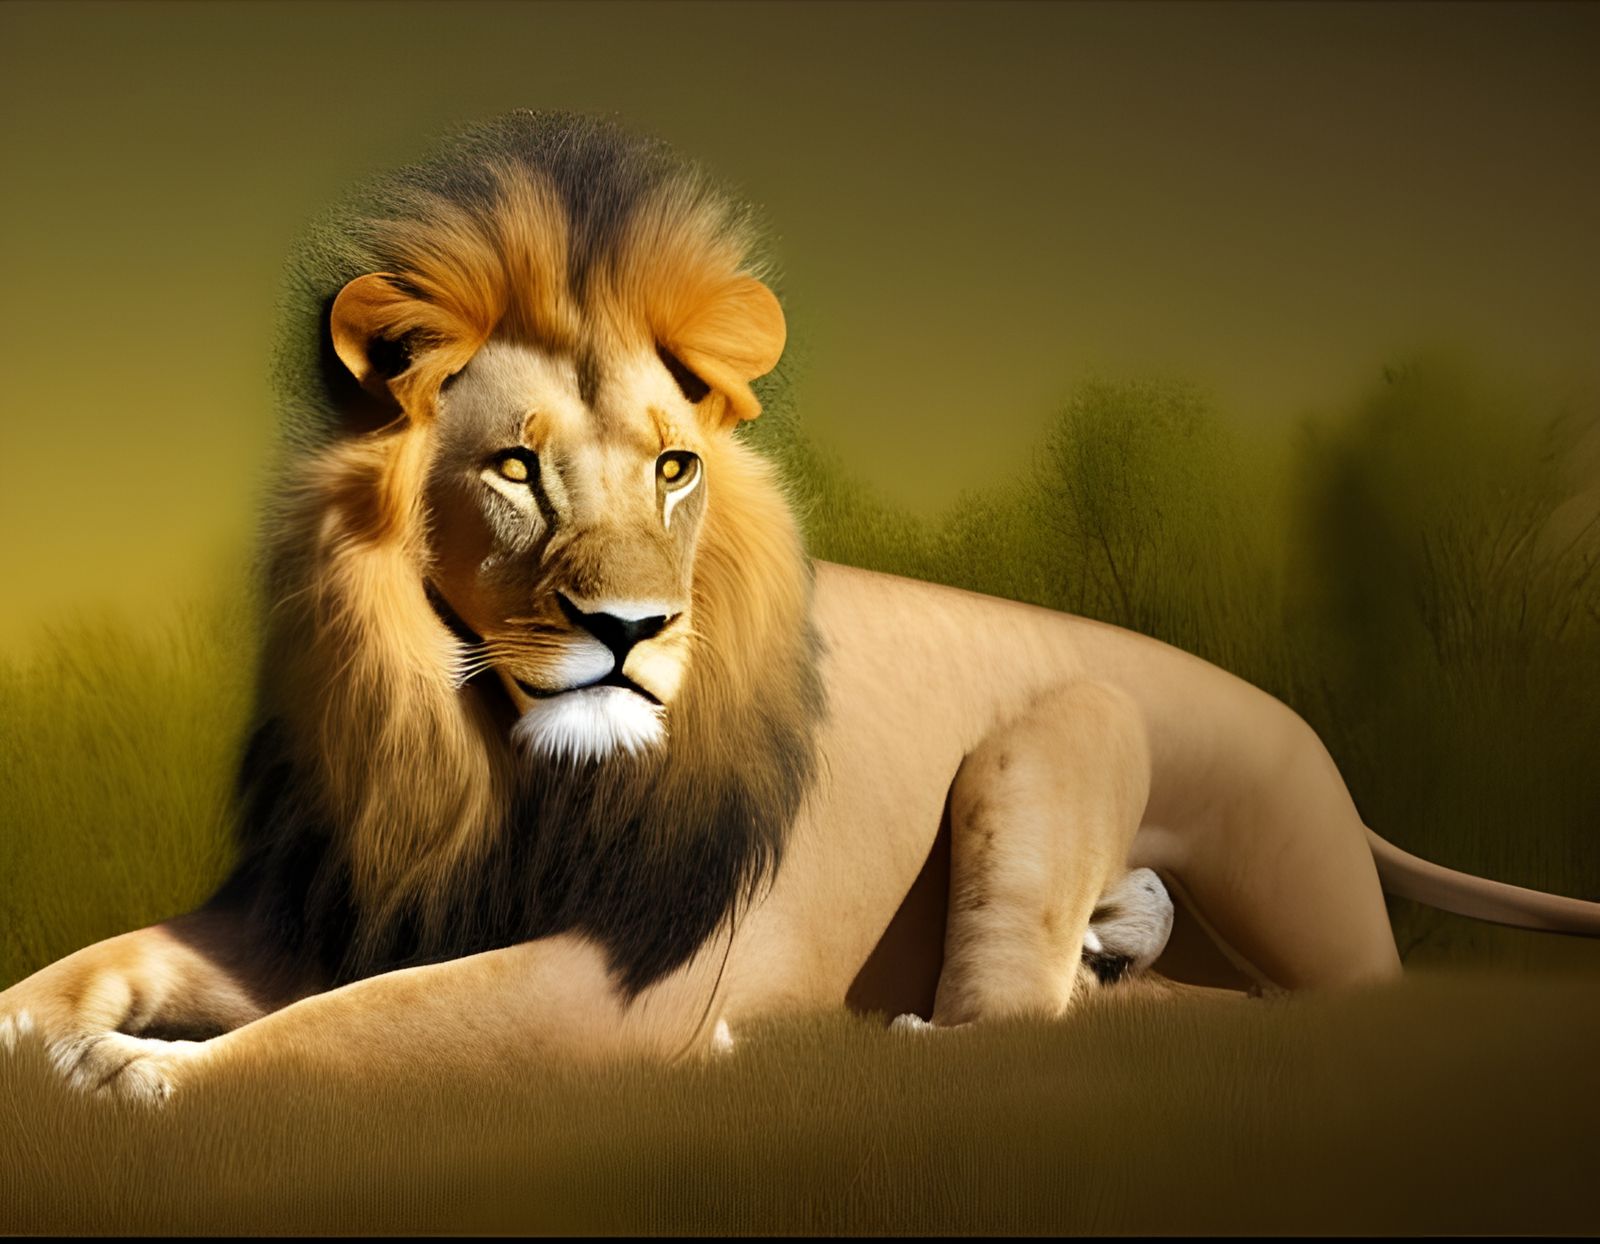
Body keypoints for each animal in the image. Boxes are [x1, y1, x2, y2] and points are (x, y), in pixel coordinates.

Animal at [2, 111, 1596, 1103]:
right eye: (515, 466)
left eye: (675, 468)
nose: (631, 632)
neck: (491, 762)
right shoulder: (330, 895)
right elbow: (102, 962)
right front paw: (49, 1025)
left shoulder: (621, 976)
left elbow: (354, 1030)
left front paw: (146, 1073)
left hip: (1068, 757)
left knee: (1040, 1025)